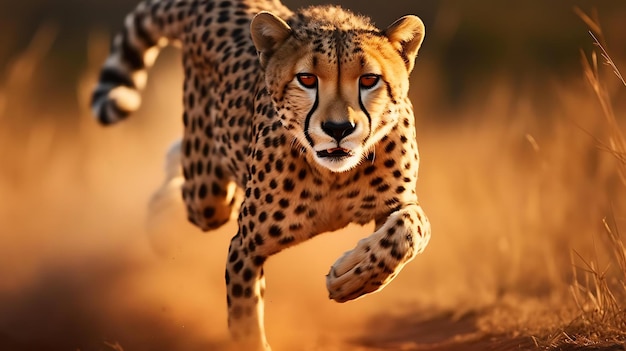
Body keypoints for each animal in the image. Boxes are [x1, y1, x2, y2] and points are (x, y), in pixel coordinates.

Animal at [91, 0, 428, 350]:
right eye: (307, 79)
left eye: (369, 79)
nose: (338, 129)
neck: (333, 175)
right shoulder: (246, 247)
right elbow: (244, 318)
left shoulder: (397, 205)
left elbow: (411, 229)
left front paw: (353, 276)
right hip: (208, 192)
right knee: (190, 185)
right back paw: (161, 226)